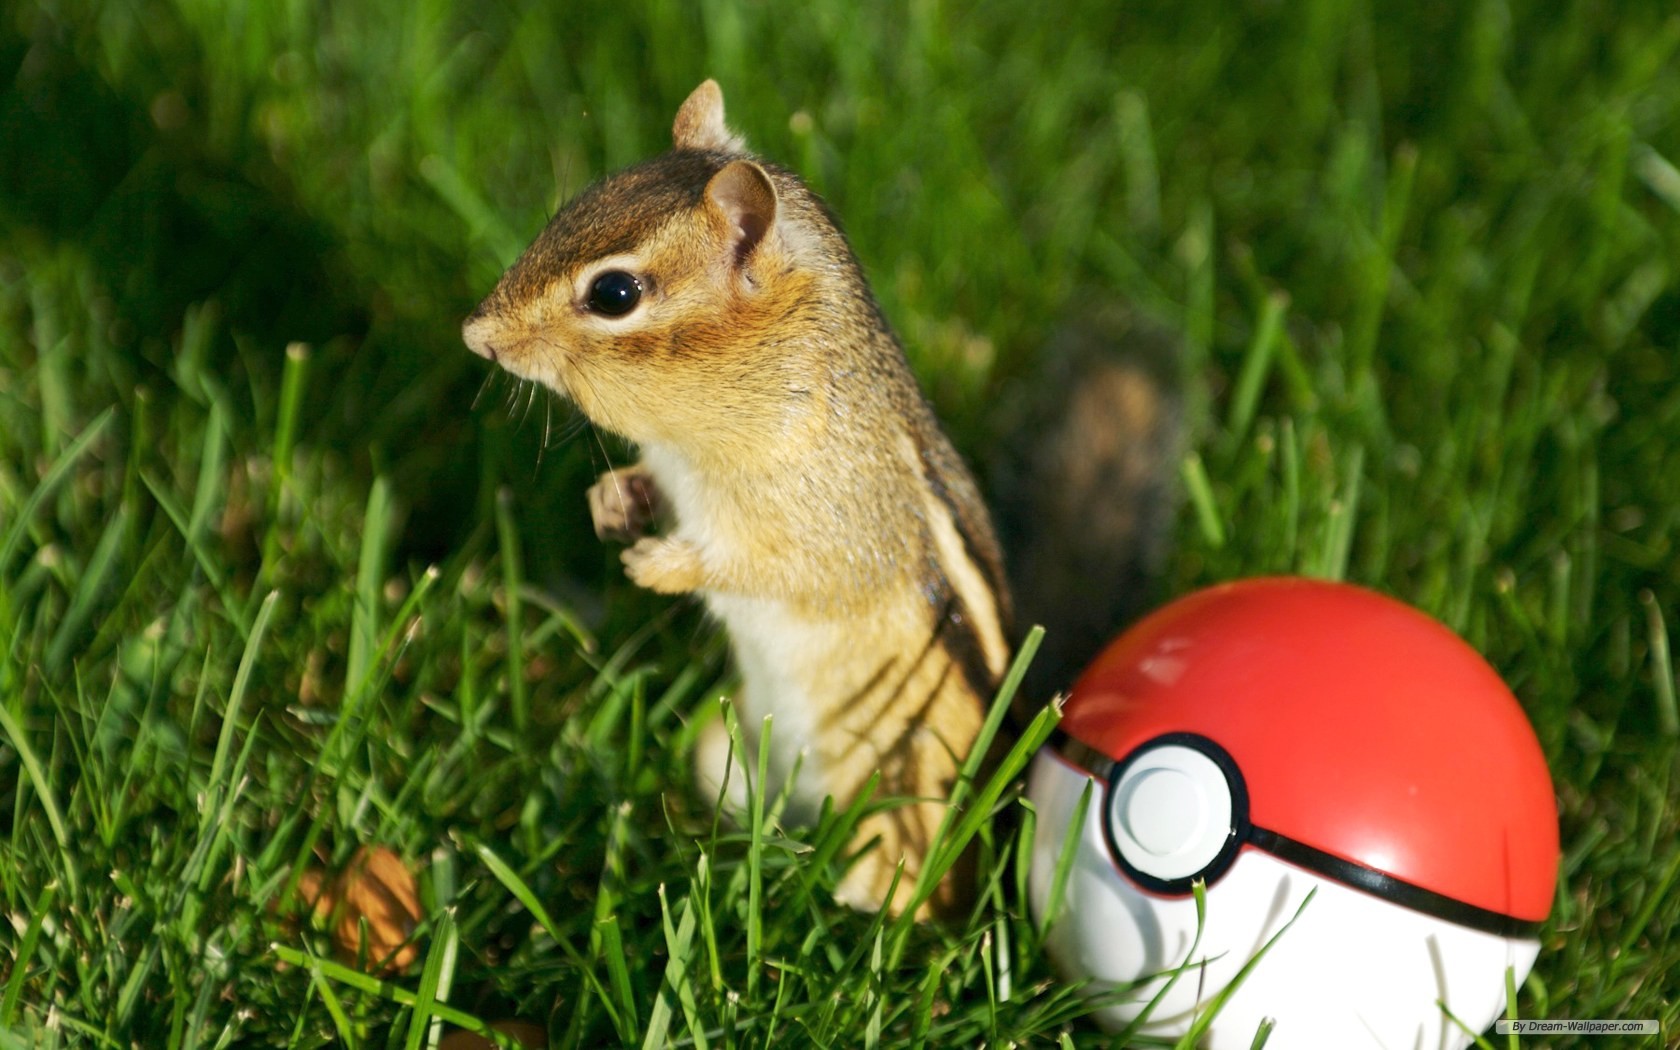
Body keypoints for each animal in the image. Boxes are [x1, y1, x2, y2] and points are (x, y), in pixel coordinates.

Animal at [462, 80, 1175, 919]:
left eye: (614, 293)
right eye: (571, 209)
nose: (475, 335)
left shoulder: (836, 521)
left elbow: (781, 568)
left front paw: (664, 567)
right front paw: (614, 502)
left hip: (904, 792)